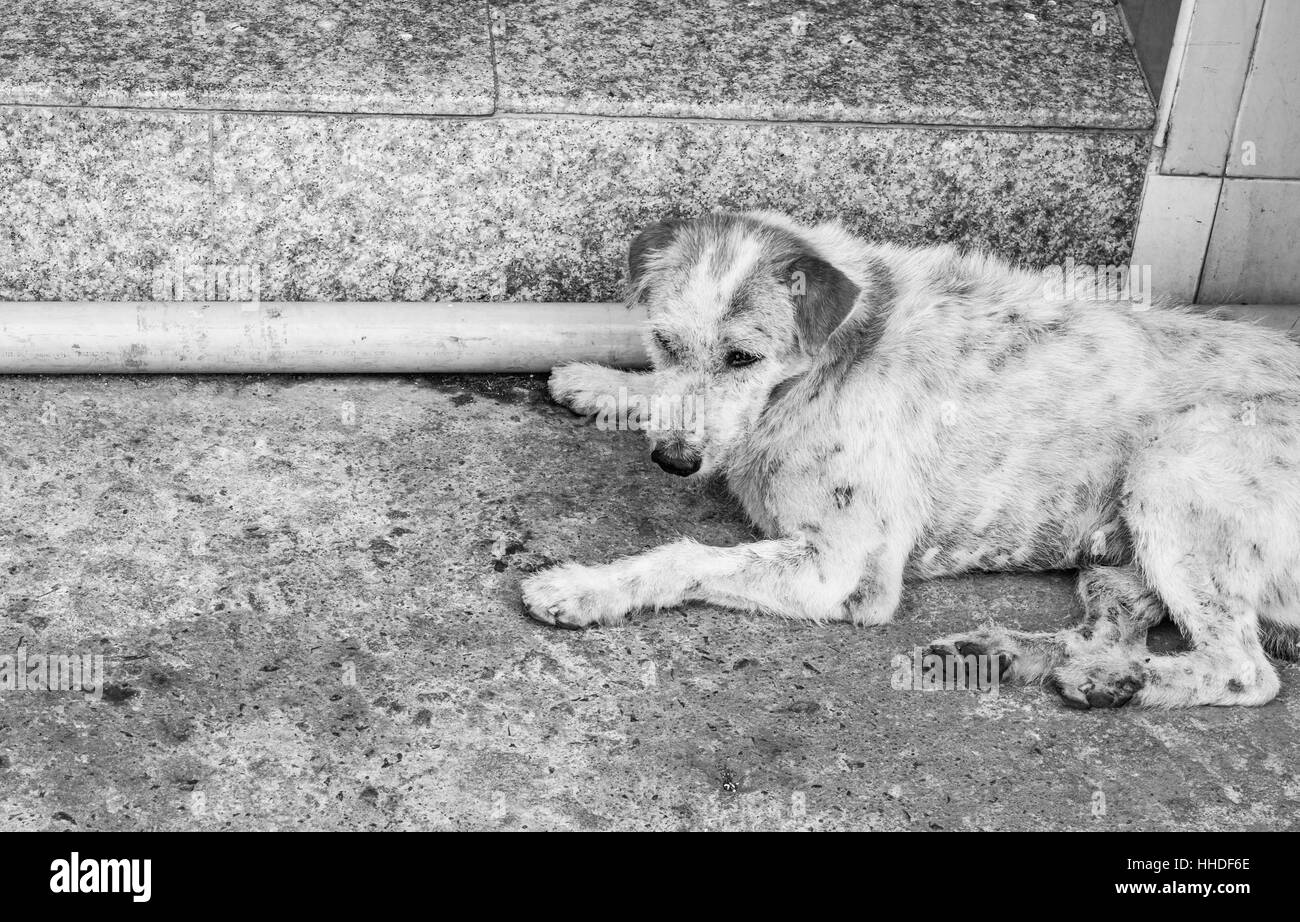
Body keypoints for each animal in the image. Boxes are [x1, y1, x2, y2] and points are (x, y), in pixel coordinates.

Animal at [520, 211, 1300, 707]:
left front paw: (583, 586)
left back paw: (1116, 682)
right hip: (1116, 563)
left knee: (1244, 671)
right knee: (1118, 622)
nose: (673, 461)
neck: (832, 357)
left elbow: (683, 556)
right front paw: (599, 381)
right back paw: (1033, 661)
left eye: (743, 357)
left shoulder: (839, 568)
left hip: (1175, 467)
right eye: (665, 341)